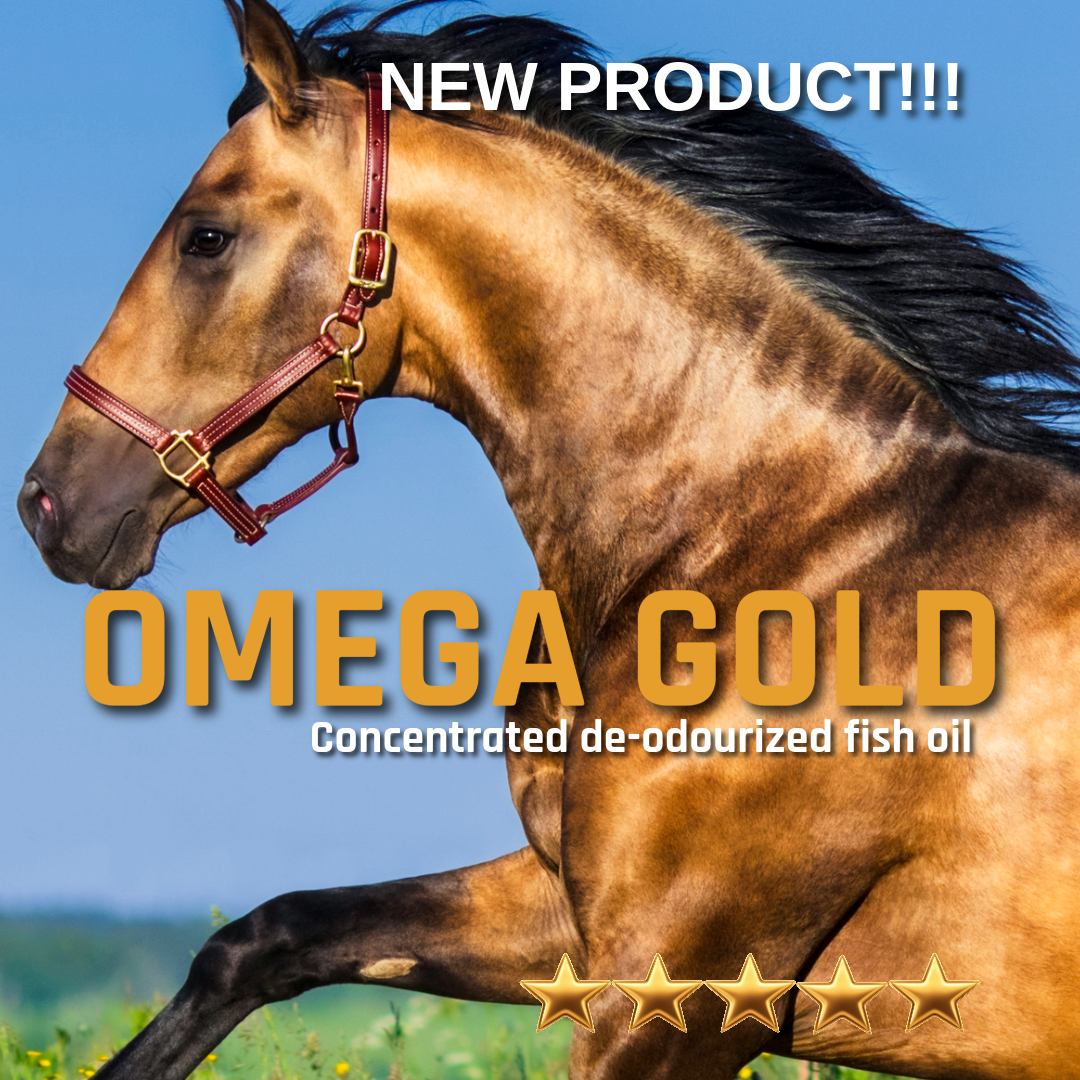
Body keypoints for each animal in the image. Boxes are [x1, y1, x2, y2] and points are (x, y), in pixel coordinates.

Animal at [17, 1, 1080, 1077]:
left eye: (207, 236)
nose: (45, 505)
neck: (795, 541)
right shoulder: (571, 917)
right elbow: (265, 938)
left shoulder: (675, 988)